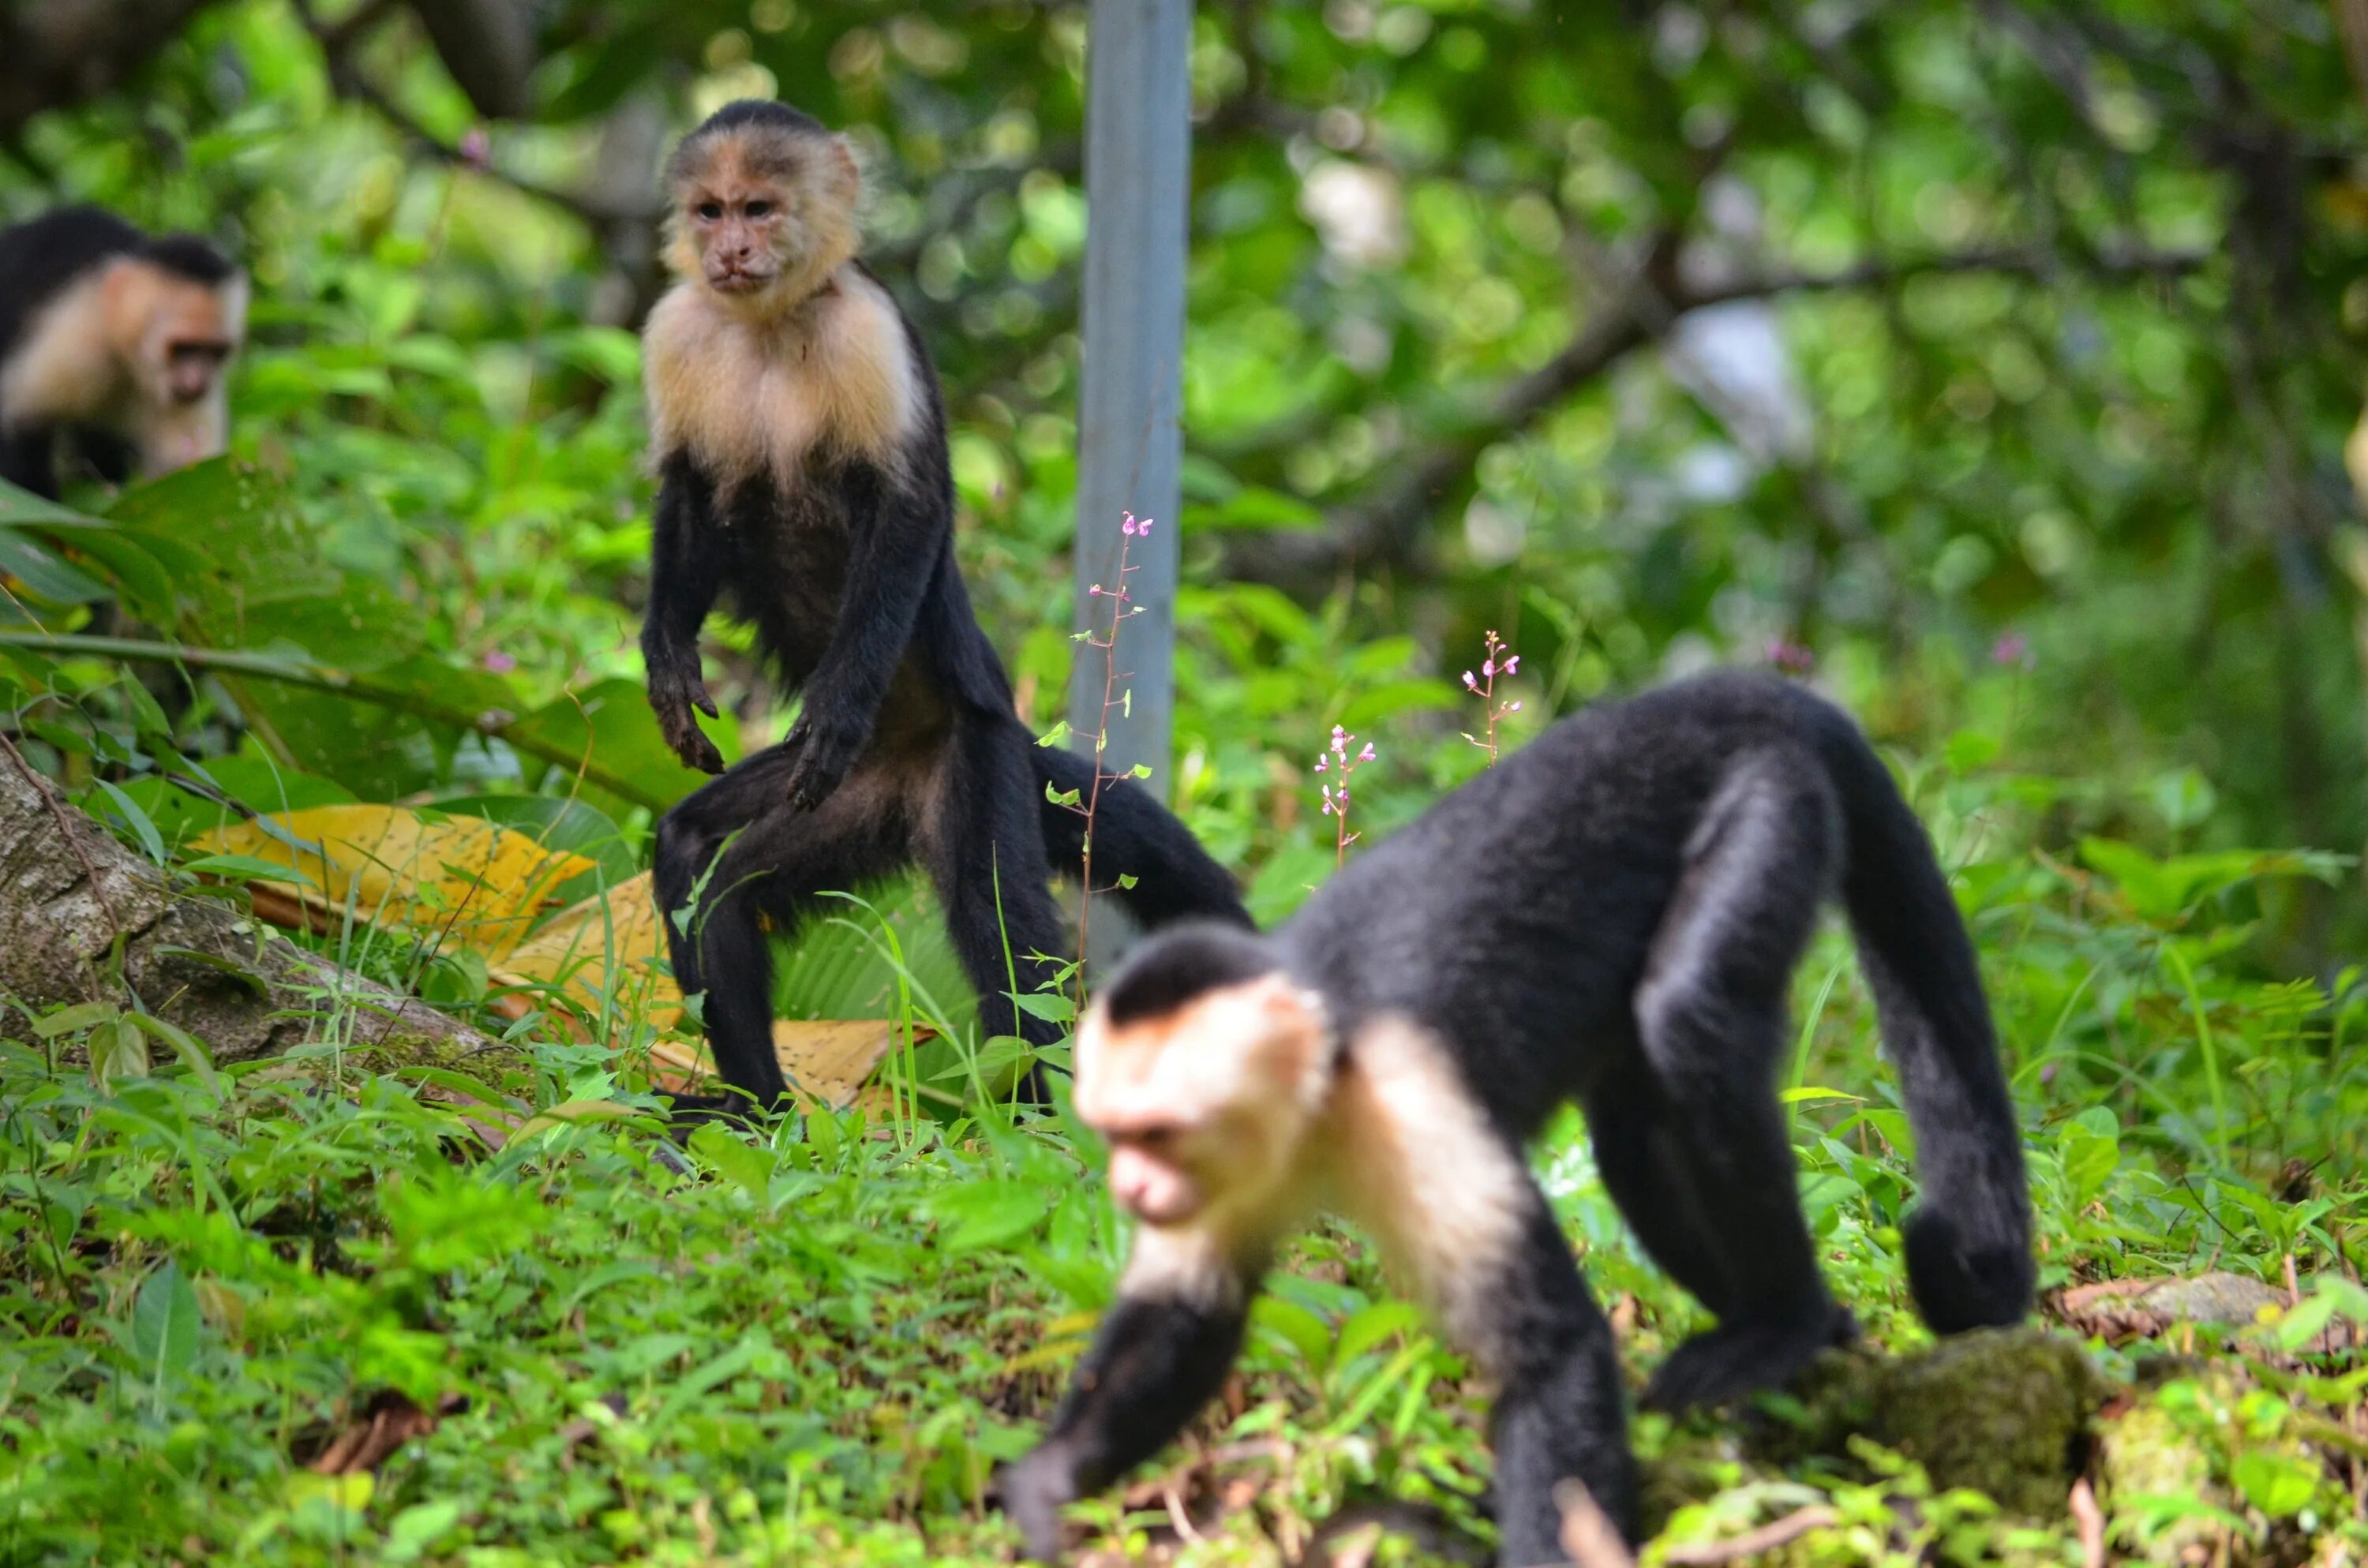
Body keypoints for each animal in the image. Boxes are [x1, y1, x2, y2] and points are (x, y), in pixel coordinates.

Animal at [0, 207, 242, 504]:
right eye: (181, 348)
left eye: (214, 352)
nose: (197, 382)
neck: (126, 360)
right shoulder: (76, 340)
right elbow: (18, 425)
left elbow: (187, 473)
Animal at [635, 101, 1260, 1117]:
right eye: (711, 210)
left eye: (761, 209)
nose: (729, 250)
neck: (769, 322)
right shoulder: (677, 327)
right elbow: (690, 495)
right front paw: (666, 662)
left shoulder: (869, 329)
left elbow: (910, 507)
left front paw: (840, 697)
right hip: (842, 798)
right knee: (707, 865)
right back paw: (760, 1110)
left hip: (970, 757)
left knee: (995, 924)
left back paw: (1042, 1124)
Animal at [999, 668, 2036, 1562]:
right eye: (1119, 1136)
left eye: (1156, 1136)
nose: (1132, 1188)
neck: (1317, 1078)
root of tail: (1725, 690)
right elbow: (1186, 1320)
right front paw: (1050, 1486)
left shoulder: (1409, 1100)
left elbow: (1556, 1353)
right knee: (1632, 1130)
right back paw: (1812, 1330)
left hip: (1772, 798)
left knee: (1689, 1013)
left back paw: (1785, 1320)